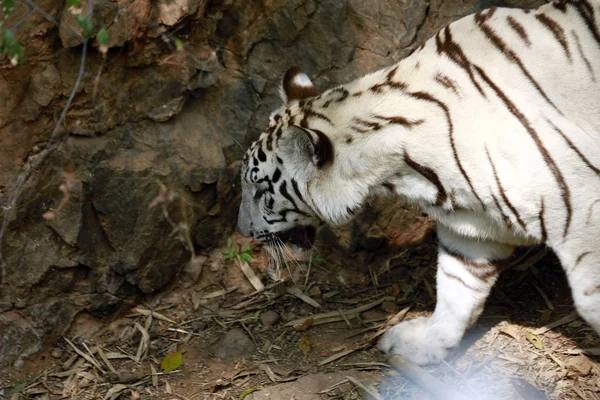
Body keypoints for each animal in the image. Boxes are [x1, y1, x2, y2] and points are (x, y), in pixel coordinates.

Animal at [237, 0, 600, 364]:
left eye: (260, 190)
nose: (243, 230)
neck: (408, 172)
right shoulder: (472, 227)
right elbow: (456, 288)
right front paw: (424, 342)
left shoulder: (582, 215)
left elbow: (589, 298)